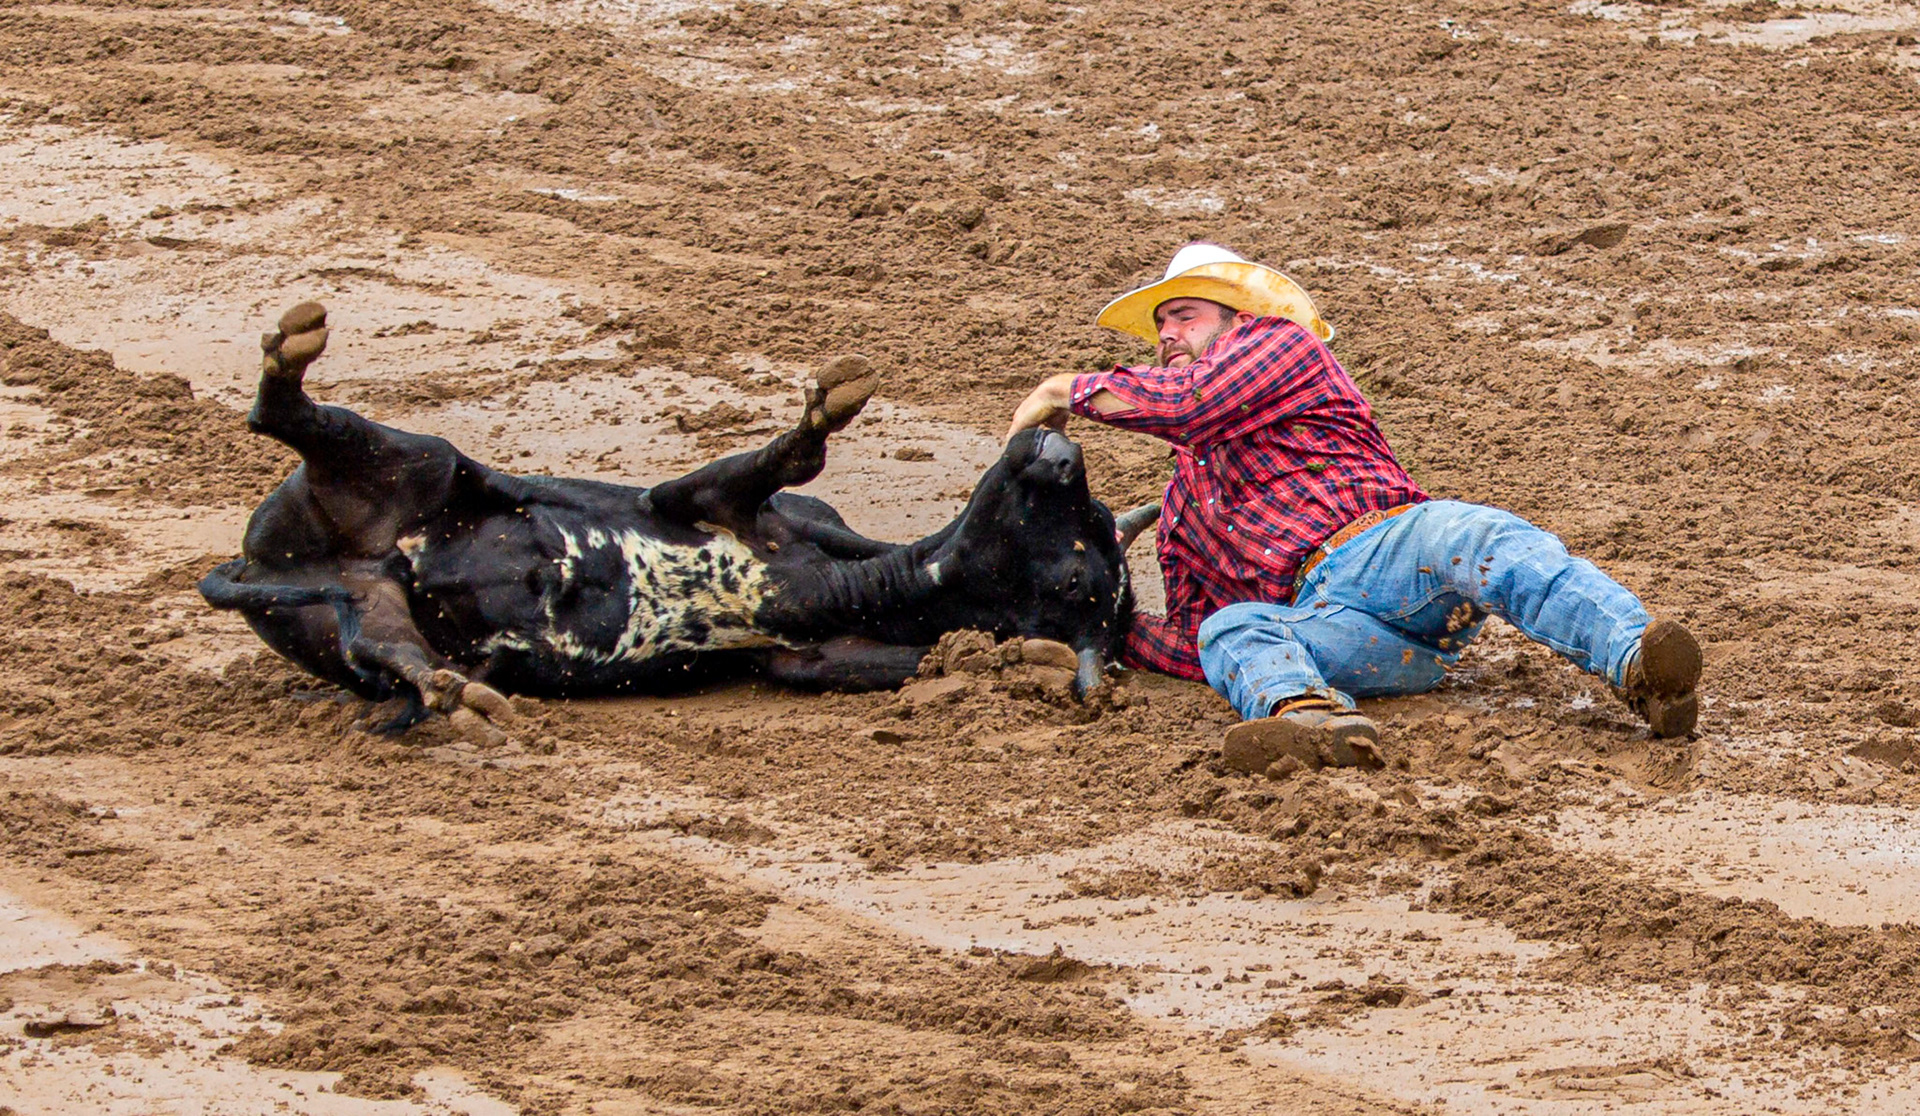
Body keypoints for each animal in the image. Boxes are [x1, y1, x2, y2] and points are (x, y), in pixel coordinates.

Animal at [199, 303, 1158, 735]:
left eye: (1083, 569)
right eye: (1094, 517)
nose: (1059, 452)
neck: (842, 584)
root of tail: (259, 572)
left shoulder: (814, 658)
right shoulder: (721, 503)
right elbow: (782, 463)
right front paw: (830, 404)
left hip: (368, 610)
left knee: (396, 652)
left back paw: (447, 689)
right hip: (419, 472)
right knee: (297, 422)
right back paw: (292, 348)